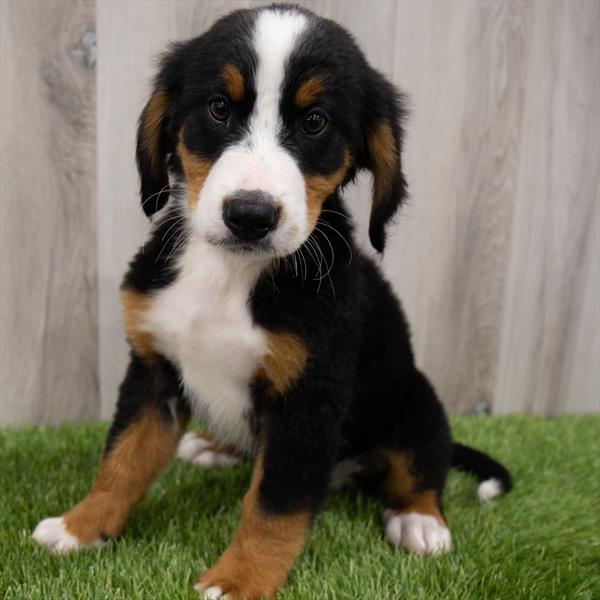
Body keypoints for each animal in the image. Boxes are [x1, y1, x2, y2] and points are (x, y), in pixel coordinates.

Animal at [32, 5, 510, 600]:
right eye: (218, 108)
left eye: (315, 122)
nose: (250, 215)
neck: (228, 274)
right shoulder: (153, 372)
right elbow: (122, 460)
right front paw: (80, 527)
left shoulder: (306, 402)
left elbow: (273, 508)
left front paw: (239, 581)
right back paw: (214, 447)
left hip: (415, 397)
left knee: (422, 461)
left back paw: (419, 521)